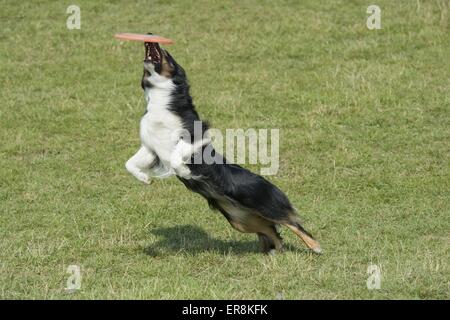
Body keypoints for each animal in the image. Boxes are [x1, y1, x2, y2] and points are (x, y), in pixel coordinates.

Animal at [125, 40, 322, 255]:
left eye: (166, 53)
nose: (149, 39)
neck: (160, 102)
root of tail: (268, 183)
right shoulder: (151, 148)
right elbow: (130, 163)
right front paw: (145, 179)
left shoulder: (193, 138)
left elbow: (177, 158)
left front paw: (185, 172)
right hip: (240, 221)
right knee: (272, 232)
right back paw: (276, 253)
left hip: (261, 204)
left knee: (292, 223)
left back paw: (316, 247)